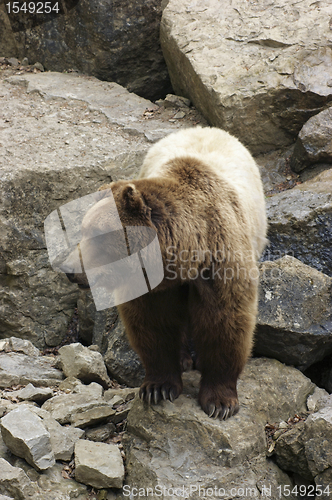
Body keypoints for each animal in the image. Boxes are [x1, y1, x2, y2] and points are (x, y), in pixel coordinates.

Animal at [63, 127, 268, 420]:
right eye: (83, 230)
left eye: (96, 234)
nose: (69, 270)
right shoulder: (149, 285)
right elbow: (154, 324)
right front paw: (158, 388)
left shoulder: (221, 259)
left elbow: (225, 320)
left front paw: (220, 402)